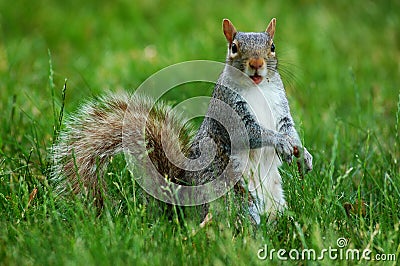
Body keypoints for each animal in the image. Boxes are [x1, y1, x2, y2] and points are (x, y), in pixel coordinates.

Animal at [50, 17, 312, 224]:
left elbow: (289, 128)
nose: (256, 64)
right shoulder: (229, 112)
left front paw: (302, 152)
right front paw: (280, 142)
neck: (256, 87)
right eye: (234, 47)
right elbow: (249, 133)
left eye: (272, 47)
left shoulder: (280, 107)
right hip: (231, 192)